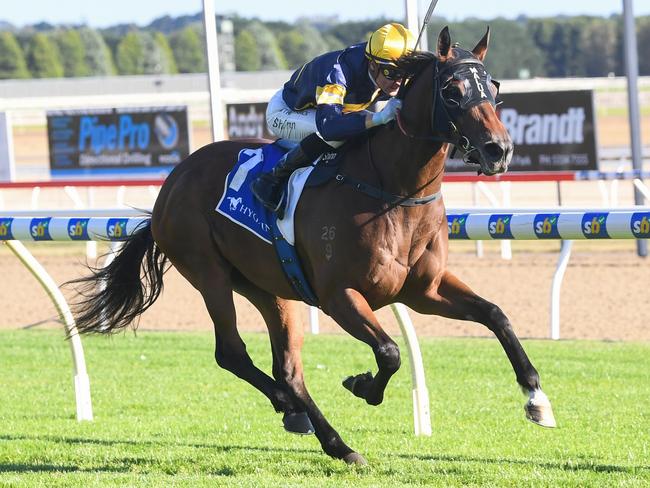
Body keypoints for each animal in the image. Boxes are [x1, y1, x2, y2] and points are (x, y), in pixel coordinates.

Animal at [71, 26, 556, 466]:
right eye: (453, 91)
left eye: (494, 88)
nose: (498, 150)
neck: (393, 190)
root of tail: (171, 184)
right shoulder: (339, 295)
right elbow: (390, 352)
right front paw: (363, 386)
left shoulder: (424, 290)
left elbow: (495, 314)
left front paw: (536, 398)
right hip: (209, 273)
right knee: (232, 352)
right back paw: (316, 426)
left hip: (268, 287)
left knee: (287, 369)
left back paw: (311, 423)